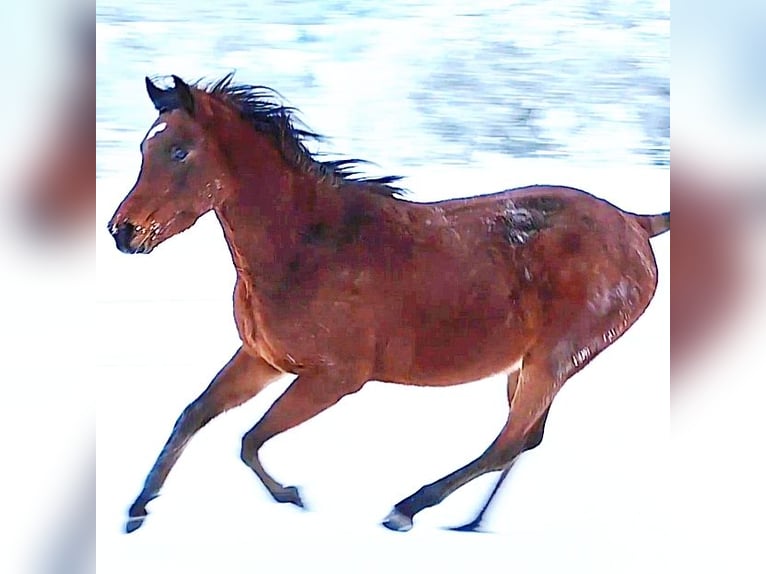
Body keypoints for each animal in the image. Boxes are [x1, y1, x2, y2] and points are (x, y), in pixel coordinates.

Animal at [108, 74, 670, 534]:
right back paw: (469, 522)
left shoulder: (334, 377)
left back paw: (407, 509)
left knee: (508, 441)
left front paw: (292, 497)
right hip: (528, 364)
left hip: (557, 357)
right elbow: (194, 415)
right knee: (525, 439)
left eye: (180, 151)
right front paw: (137, 509)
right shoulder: (262, 359)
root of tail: (636, 223)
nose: (122, 231)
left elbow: (249, 440)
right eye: (145, 146)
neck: (308, 246)